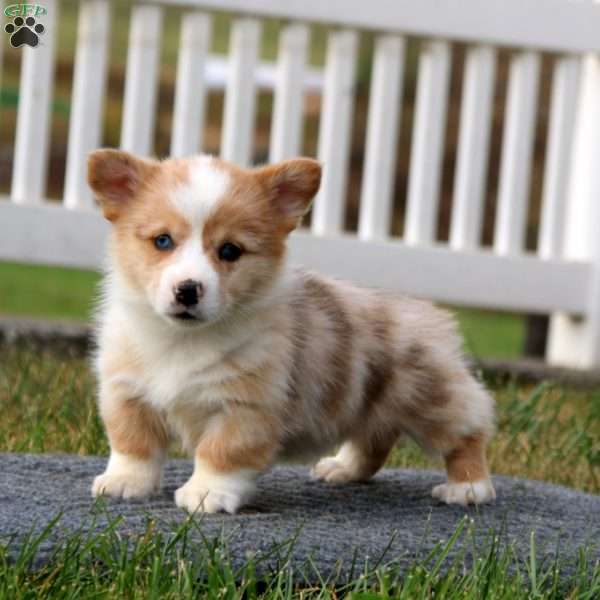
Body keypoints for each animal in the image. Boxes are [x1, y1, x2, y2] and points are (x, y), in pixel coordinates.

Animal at [88, 149, 492, 510]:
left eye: (230, 250)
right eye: (162, 241)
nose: (187, 290)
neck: (183, 339)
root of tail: (426, 312)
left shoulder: (245, 407)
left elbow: (220, 452)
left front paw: (207, 495)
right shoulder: (128, 393)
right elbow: (133, 444)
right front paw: (124, 483)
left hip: (433, 401)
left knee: (467, 434)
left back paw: (468, 488)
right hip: (368, 405)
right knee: (374, 441)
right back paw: (343, 469)